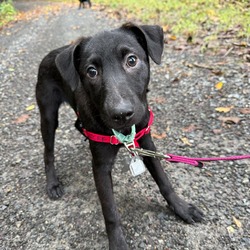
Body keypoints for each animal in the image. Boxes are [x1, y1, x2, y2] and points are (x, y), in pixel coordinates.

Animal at [35, 23, 203, 248]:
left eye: (131, 60)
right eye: (91, 71)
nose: (121, 114)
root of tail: (49, 55)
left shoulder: (146, 142)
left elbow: (164, 180)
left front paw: (181, 208)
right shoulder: (101, 165)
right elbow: (110, 211)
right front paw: (117, 242)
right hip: (48, 115)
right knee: (48, 151)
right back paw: (52, 183)